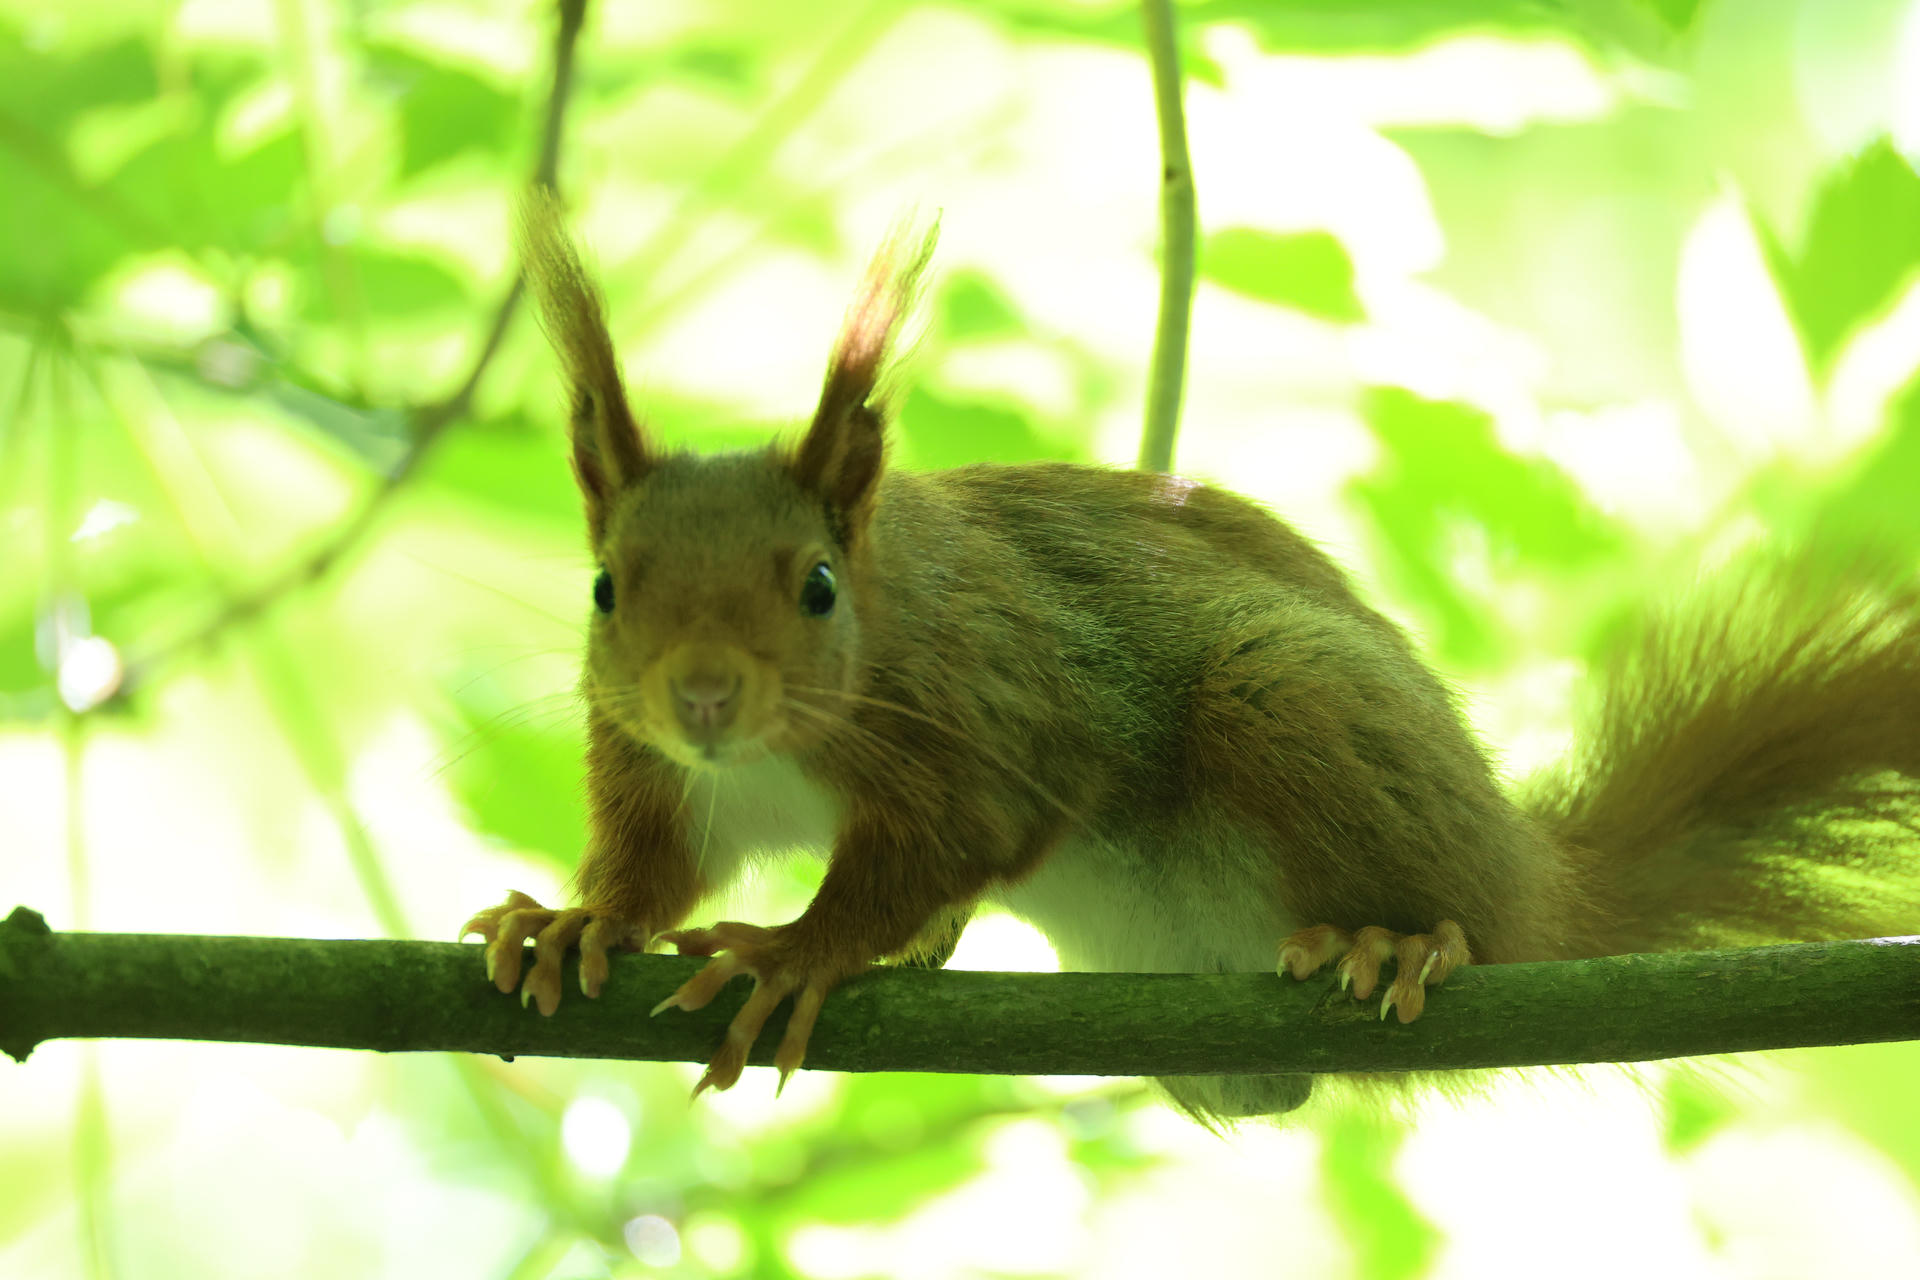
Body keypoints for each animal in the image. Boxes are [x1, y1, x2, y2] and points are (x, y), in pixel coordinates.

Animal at [464, 196, 1920, 1120]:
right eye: (606, 588)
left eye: (817, 586)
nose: (703, 694)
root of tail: (1535, 871)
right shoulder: (653, 765)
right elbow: (655, 868)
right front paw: (577, 920)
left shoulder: (994, 710)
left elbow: (934, 852)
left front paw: (793, 953)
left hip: (1289, 700)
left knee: (1469, 922)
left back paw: (1403, 942)